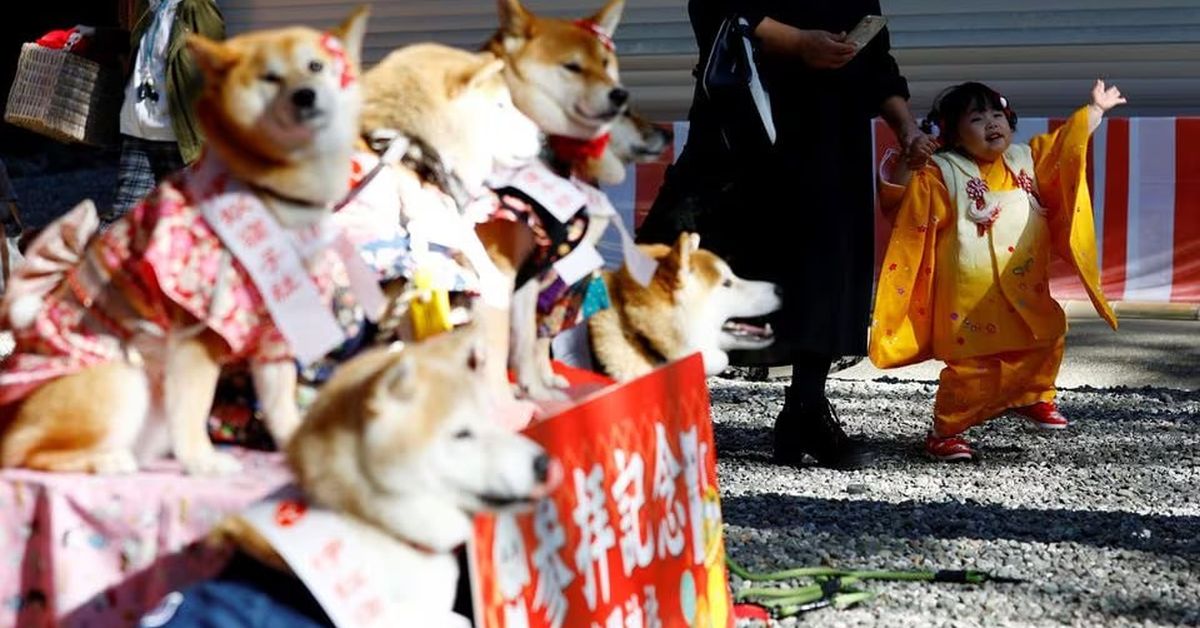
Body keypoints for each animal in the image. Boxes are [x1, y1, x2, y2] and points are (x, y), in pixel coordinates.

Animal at [0, 9, 374, 475]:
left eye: (317, 66)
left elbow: (282, 407)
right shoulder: (195, 334)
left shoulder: (276, 332)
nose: (306, 96)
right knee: (29, 455)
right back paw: (110, 461)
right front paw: (205, 463)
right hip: (123, 378)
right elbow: (196, 407)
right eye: (270, 77)